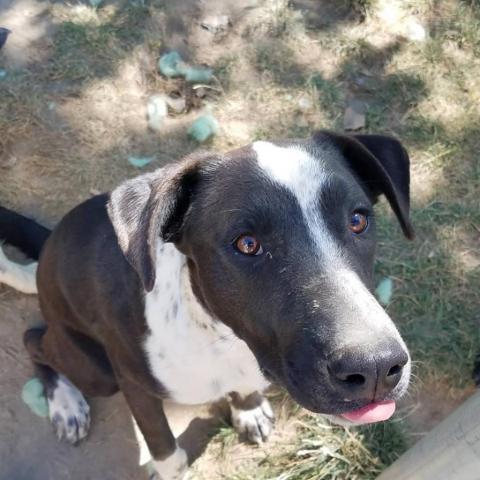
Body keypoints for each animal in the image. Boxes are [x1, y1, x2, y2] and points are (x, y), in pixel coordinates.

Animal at [0, 131, 412, 480]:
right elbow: (166, 449)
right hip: (95, 368)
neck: (221, 339)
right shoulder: (133, 383)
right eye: (247, 244)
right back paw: (66, 403)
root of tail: (49, 244)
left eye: (358, 220)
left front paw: (249, 409)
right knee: (33, 339)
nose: (375, 367)